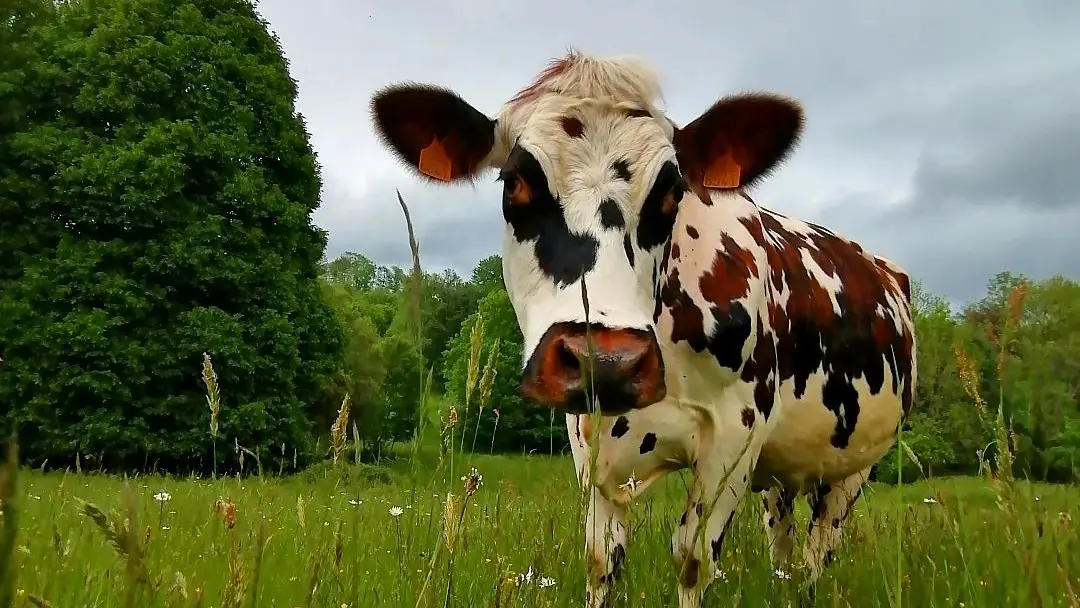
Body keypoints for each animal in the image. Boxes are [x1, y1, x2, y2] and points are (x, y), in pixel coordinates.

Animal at [367, 49, 915, 604]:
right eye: (514, 182)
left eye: (672, 190)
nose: (605, 361)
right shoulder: (587, 436)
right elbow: (601, 558)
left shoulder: (739, 432)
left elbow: (693, 559)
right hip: (784, 475)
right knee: (782, 541)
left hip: (855, 466)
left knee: (818, 550)